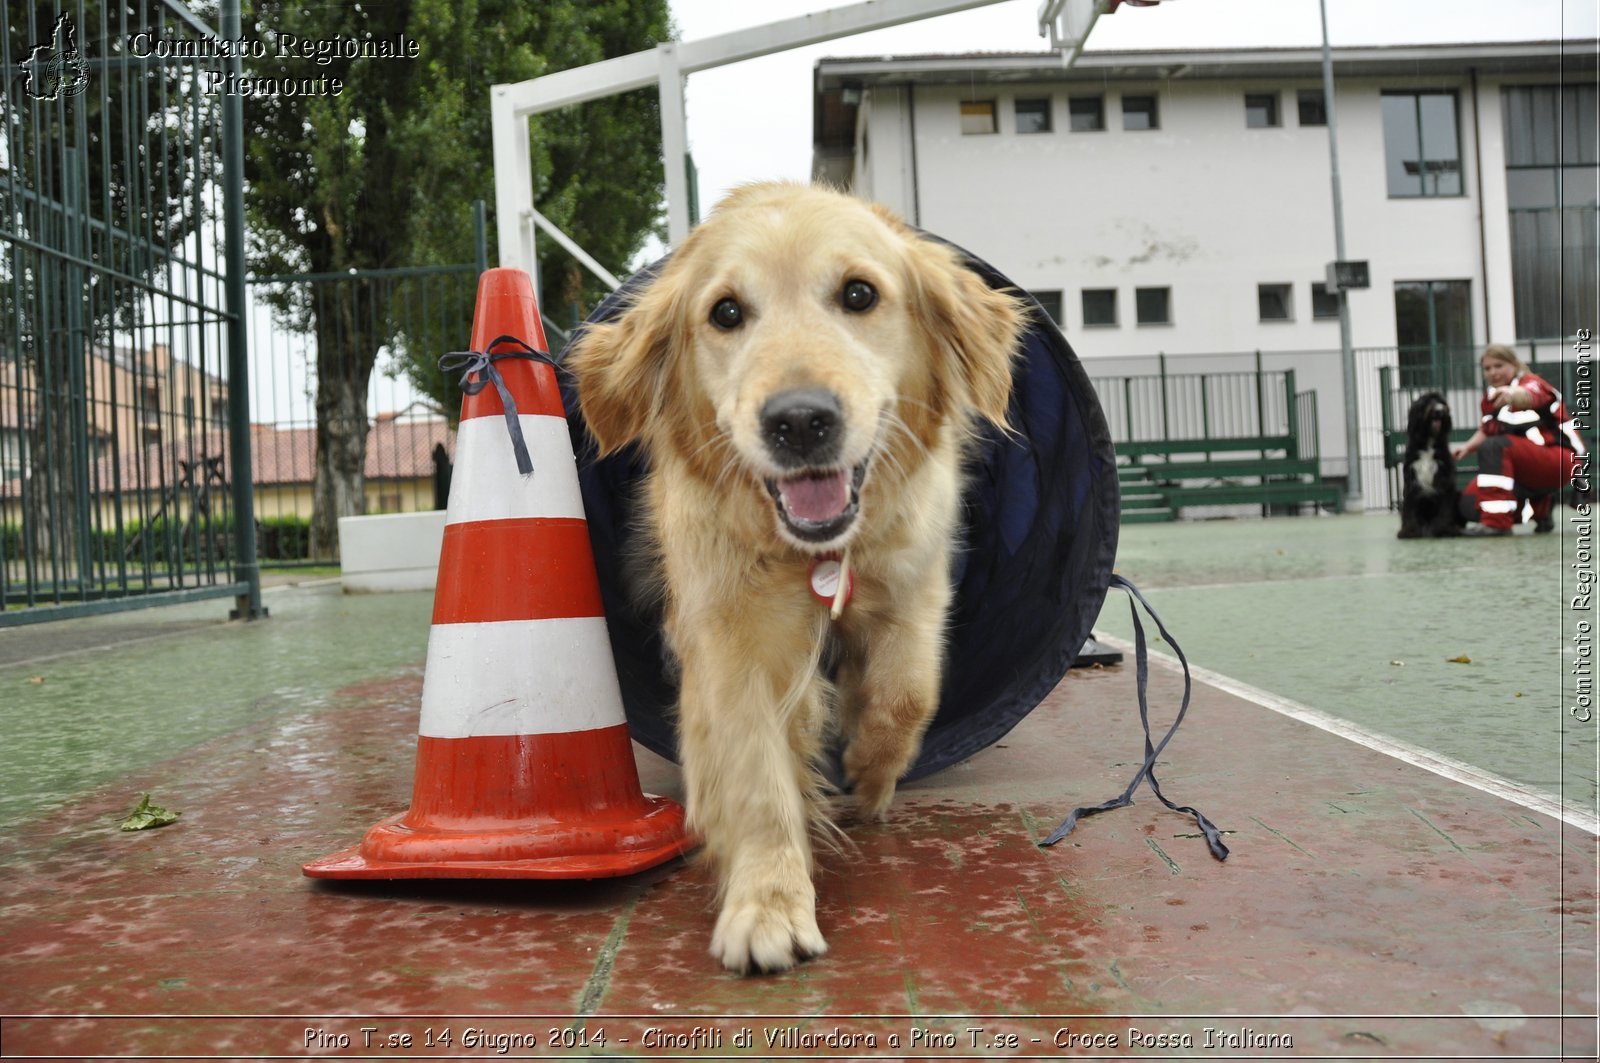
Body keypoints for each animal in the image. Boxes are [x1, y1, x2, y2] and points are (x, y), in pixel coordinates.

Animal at [569, 182, 1030, 973]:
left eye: (859, 293)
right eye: (726, 311)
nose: (801, 421)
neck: (819, 555)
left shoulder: (916, 587)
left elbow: (907, 695)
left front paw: (870, 775)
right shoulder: (730, 637)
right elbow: (757, 776)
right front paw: (769, 904)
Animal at [1401, 392, 1465, 541]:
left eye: (1442, 402)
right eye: (1427, 402)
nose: (1440, 410)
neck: (1428, 442)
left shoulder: (1445, 480)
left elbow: (1445, 508)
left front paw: (1443, 530)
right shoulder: (1411, 481)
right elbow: (1409, 509)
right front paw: (1409, 531)